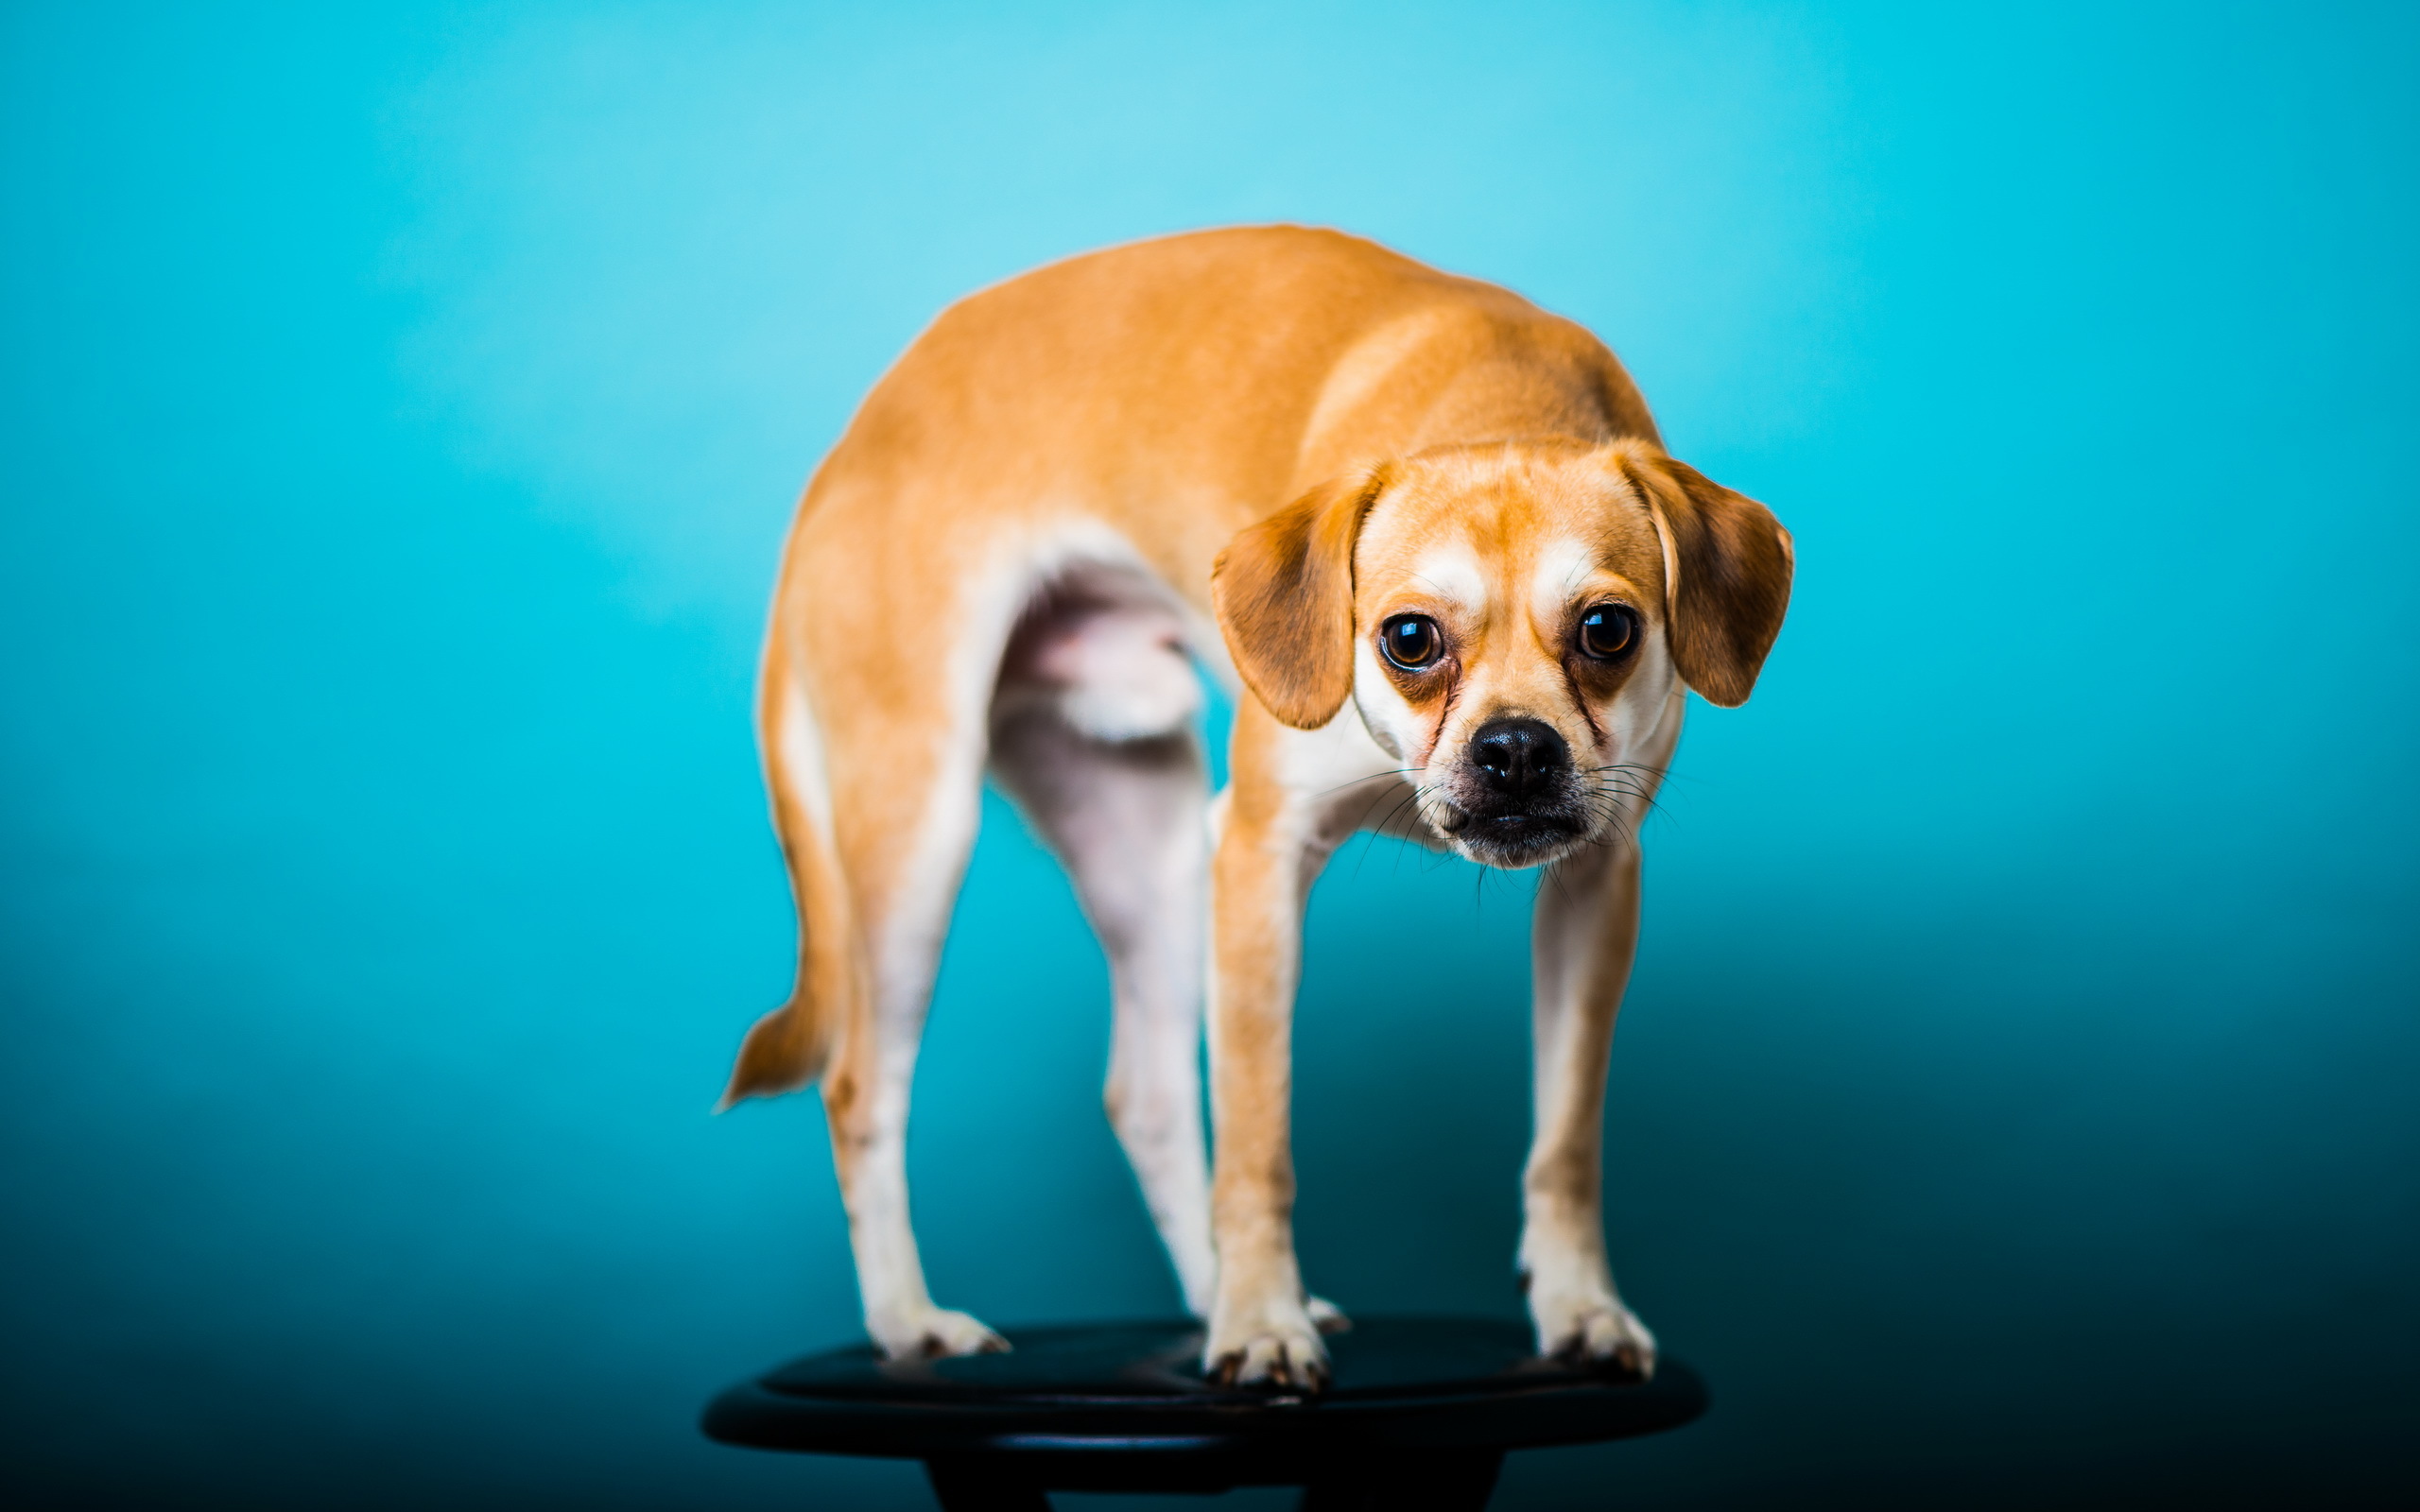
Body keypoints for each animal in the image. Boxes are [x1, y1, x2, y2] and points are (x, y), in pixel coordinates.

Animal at [711, 217, 1781, 1383]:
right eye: (1409, 638)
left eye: (1607, 630)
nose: (1514, 751)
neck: (1496, 408)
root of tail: (847, 447)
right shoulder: (1262, 860)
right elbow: (1260, 1144)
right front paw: (1263, 1323)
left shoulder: (1595, 884)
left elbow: (1565, 1141)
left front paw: (1579, 1306)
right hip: (922, 838)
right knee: (864, 1086)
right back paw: (914, 1321)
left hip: (1151, 852)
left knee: (1147, 1097)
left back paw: (1206, 1296)